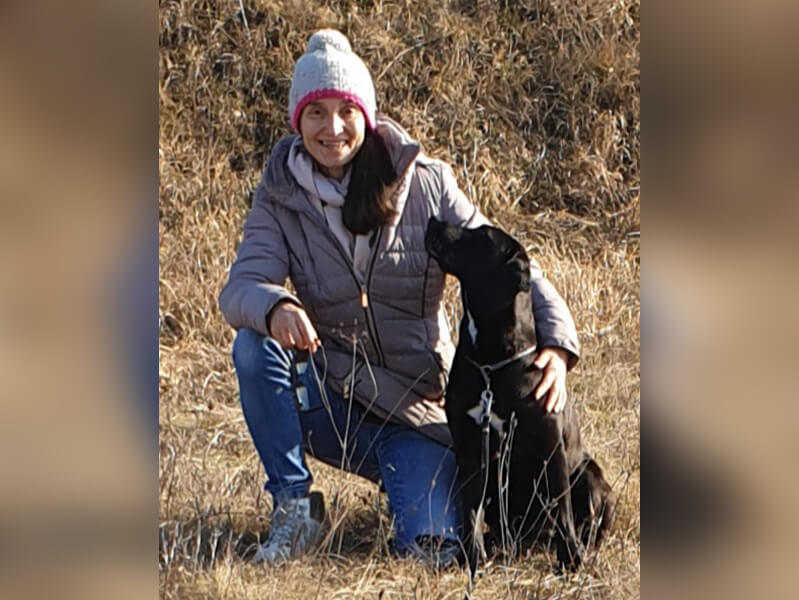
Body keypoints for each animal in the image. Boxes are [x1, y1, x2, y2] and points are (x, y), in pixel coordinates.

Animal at [425, 218, 615, 573]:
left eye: (480, 236)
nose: (434, 220)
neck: (491, 365)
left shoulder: (550, 446)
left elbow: (562, 507)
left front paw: (570, 558)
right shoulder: (470, 449)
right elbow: (469, 509)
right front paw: (470, 557)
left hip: (592, 479)